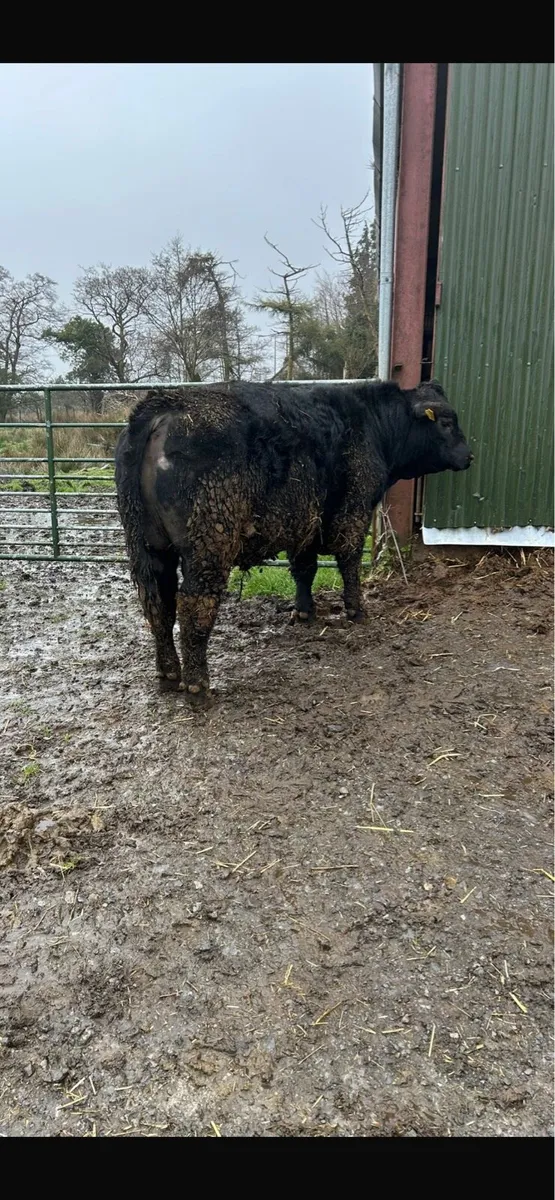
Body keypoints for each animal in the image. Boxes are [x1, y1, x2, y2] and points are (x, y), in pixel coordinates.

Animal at [115, 379, 472, 705]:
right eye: (447, 422)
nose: (469, 456)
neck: (371, 423)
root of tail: (164, 404)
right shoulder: (353, 512)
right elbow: (349, 563)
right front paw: (356, 609)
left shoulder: (305, 523)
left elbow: (304, 569)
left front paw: (304, 611)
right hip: (208, 544)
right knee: (194, 604)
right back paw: (197, 684)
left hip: (148, 546)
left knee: (158, 603)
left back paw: (168, 674)